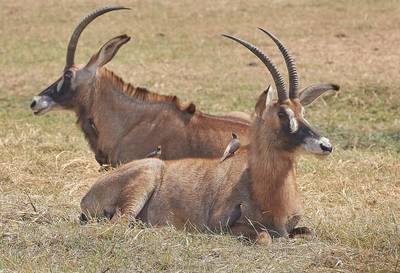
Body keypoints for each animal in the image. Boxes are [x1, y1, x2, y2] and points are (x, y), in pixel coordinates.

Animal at [79, 27, 340, 240]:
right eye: (282, 114)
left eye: (302, 111)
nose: (325, 145)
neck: (267, 189)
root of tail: (87, 196)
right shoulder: (224, 226)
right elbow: (264, 236)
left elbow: (308, 233)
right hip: (144, 181)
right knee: (120, 223)